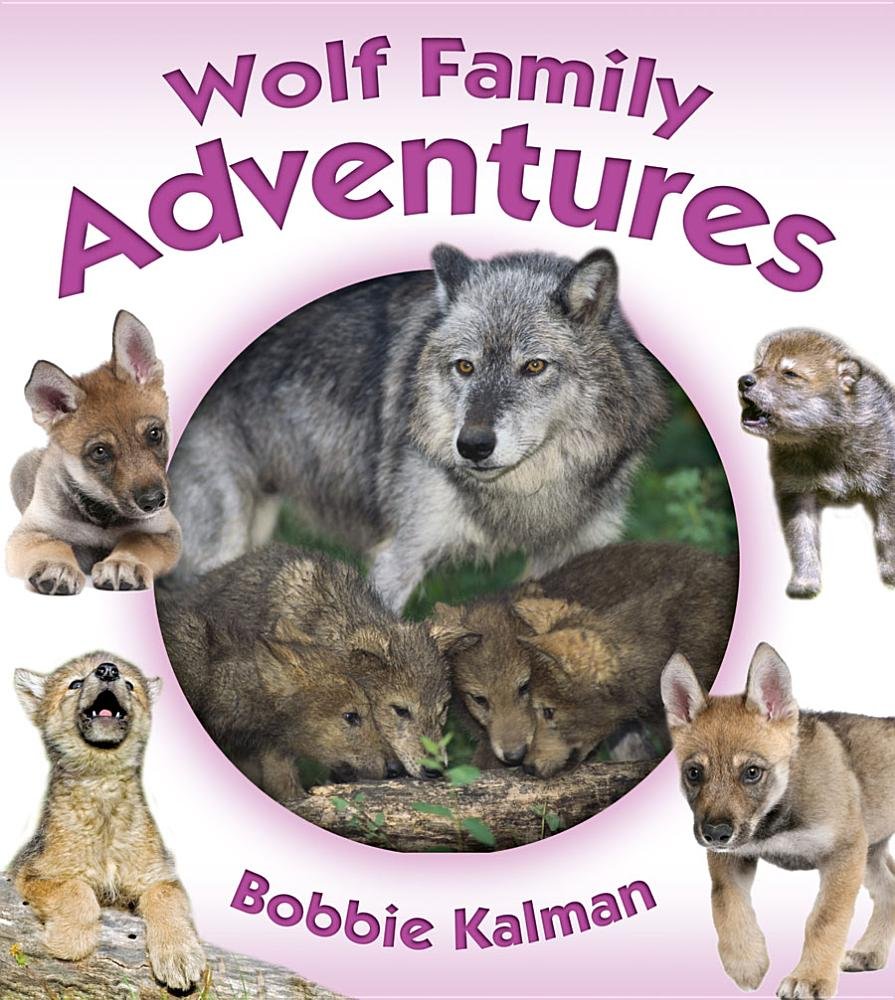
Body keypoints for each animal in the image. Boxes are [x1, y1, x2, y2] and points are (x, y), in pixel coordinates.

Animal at [7, 311, 181, 594]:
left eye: (154, 433)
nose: (154, 501)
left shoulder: (163, 531)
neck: (103, 516)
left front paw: (123, 563)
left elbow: (138, 540)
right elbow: (54, 544)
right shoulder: (29, 533)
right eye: (100, 452)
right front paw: (57, 566)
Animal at [12, 652, 206, 991]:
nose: (107, 670)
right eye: (75, 683)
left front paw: (179, 956)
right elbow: (76, 891)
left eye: (129, 683)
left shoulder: (159, 877)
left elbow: (166, 900)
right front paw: (70, 941)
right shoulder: (35, 873)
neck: (103, 788)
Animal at [168, 245, 669, 609]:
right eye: (465, 366)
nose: (472, 446)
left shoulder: (573, 555)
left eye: (534, 366)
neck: (526, 496)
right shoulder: (400, 555)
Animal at [662, 643, 895, 999]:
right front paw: (746, 961)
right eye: (694, 773)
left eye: (752, 772)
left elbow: (824, 919)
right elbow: (725, 903)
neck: (776, 816)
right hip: (870, 853)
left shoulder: (843, 854)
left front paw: (811, 978)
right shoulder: (731, 858)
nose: (715, 834)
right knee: (891, 890)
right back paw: (870, 952)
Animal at [738, 328, 895, 597]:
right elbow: (802, 541)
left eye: (789, 373)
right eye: (759, 364)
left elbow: (886, 532)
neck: (824, 445)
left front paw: (891, 574)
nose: (743, 381)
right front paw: (804, 583)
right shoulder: (797, 493)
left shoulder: (887, 486)